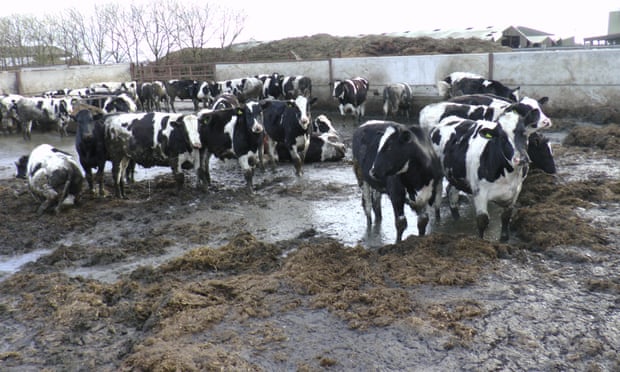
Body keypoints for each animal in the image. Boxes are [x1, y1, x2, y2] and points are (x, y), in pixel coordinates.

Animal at [428, 113, 532, 241]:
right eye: (502, 137)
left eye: (524, 133)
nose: (521, 159)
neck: (508, 175)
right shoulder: (480, 192)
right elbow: (482, 220)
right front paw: (481, 241)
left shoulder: (516, 190)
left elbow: (506, 216)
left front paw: (504, 238)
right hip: (436, 175)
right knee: (437, 200)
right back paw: (438, 222)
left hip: (455, 175)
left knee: (451, 192)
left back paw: (457, 218)